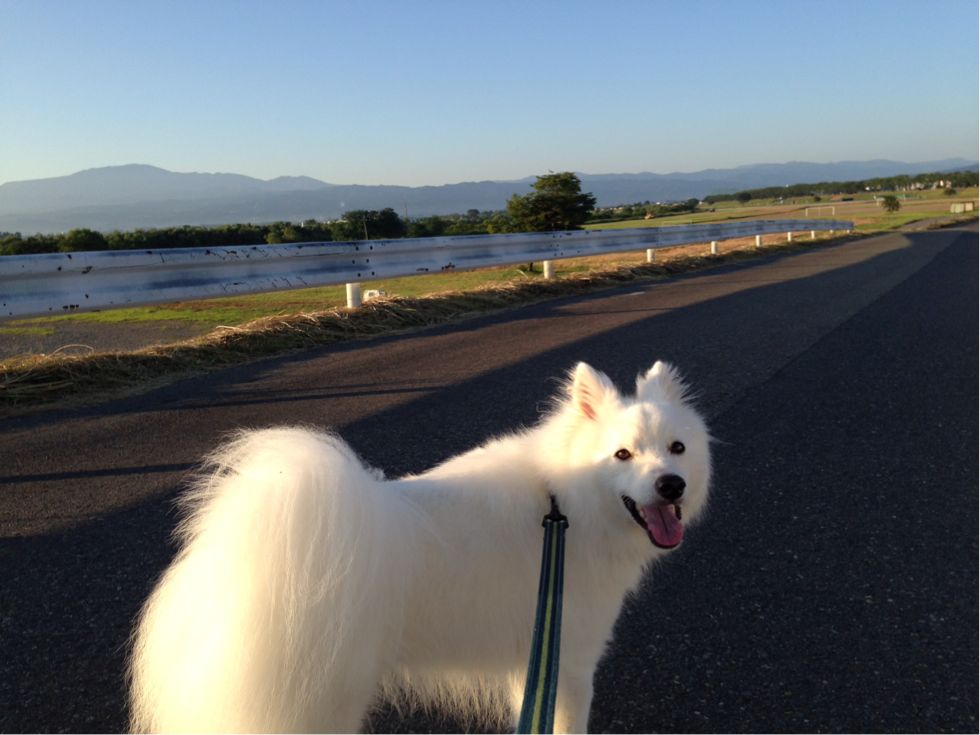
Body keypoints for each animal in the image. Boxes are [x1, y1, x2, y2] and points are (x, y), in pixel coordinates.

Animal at [128, 360, 712, 733]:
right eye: (622, 454)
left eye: (677, 448)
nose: (671, 485)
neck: (561, 502)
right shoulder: (567, 660)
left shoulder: (532, 661)